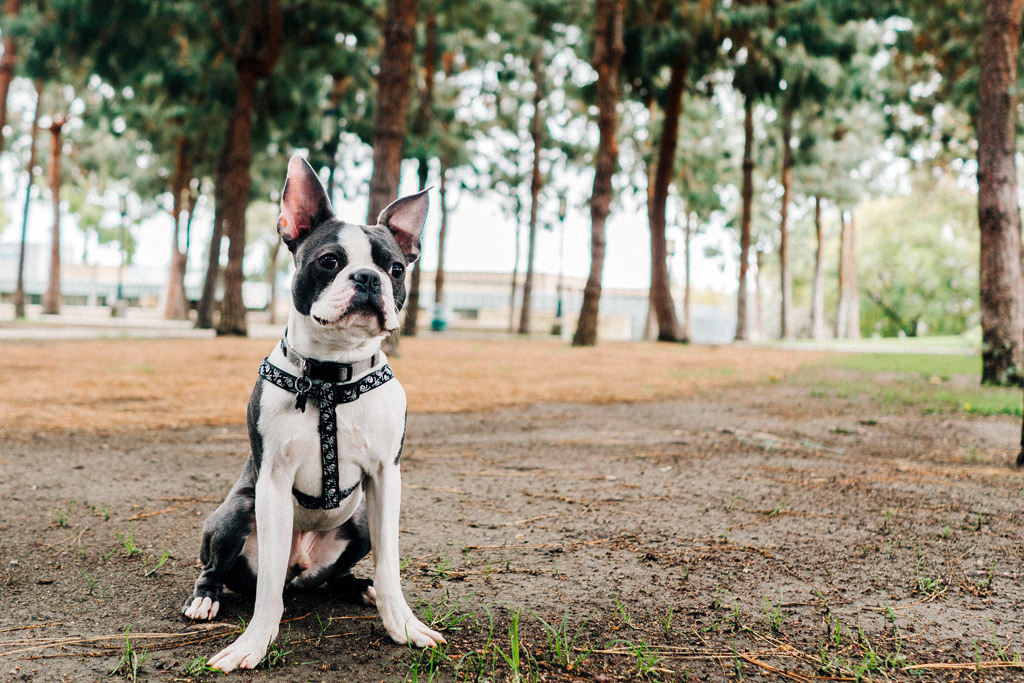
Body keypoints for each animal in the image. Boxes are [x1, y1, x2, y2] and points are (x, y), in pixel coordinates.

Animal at [183, 156, 444, 671]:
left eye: (396, 268)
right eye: (330, 261)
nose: (368, 278)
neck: (331, 378)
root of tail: (300, 568)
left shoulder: (387, 478)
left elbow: (390, 564)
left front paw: (402, 625)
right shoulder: (272, 482)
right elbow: (266, 590)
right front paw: (253, 643)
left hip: (358, 522)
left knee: (336, 576)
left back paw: (360, 588)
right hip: (237, 510)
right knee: (220, 570)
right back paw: (205, 598)